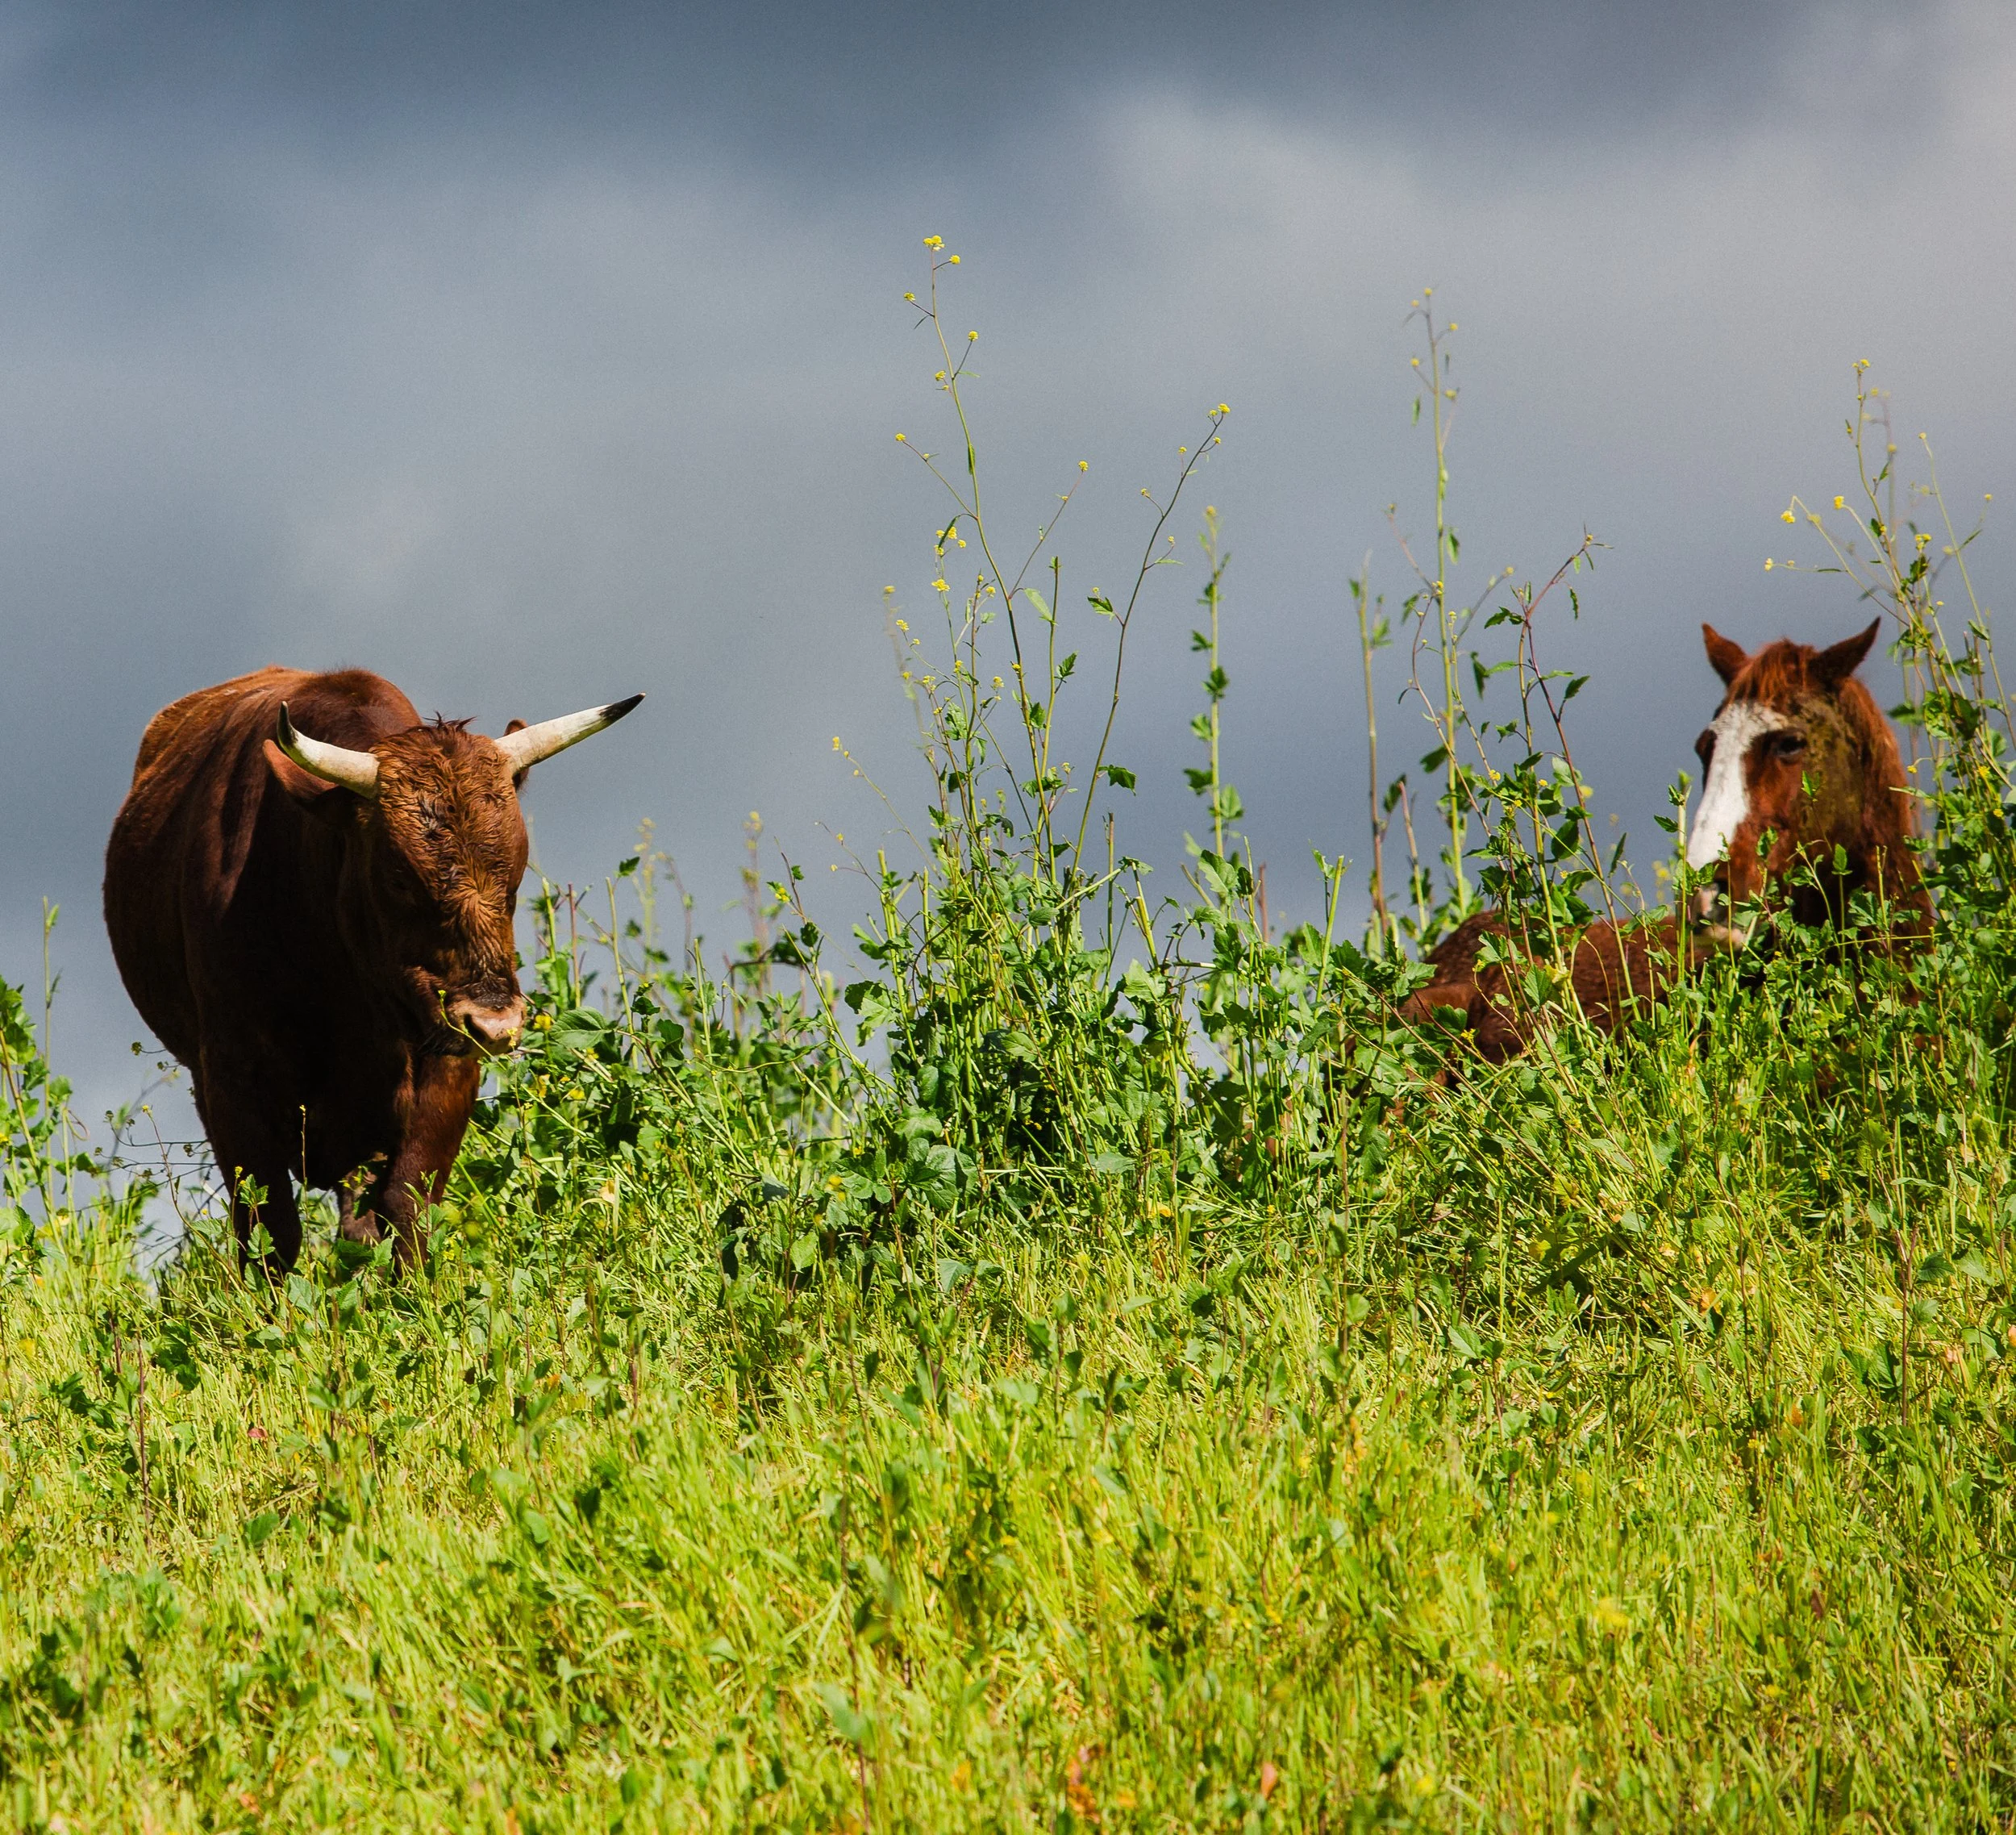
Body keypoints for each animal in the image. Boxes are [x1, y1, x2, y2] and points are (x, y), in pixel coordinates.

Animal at [104, 666, 641, 1272]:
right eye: (400, 878)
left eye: (516, 871)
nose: (494, 1023)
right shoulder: (230, 1081)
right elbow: (271, 1233)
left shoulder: (447, 1067)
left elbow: (407, 1207)